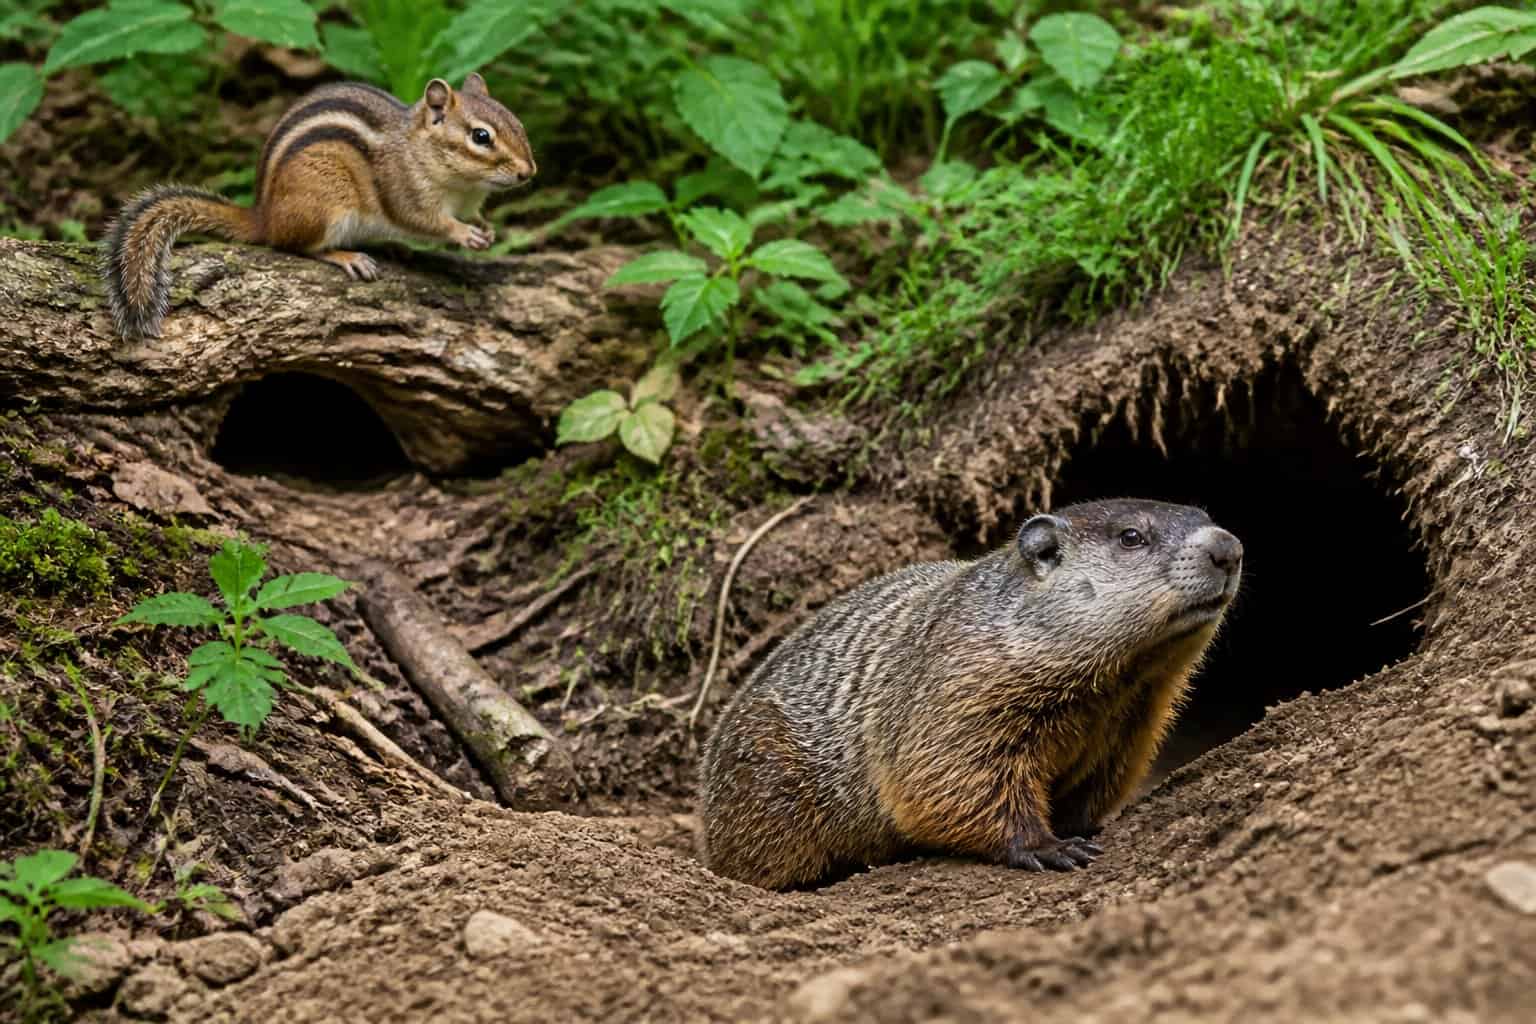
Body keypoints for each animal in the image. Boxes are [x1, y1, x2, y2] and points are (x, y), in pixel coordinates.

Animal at [101, 73, 535, 340]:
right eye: (481, 137)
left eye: (519, 124)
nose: (529, 172)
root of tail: (263, 216)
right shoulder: (405, 189)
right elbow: (424, 220)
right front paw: (462, 233)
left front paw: (487, 229)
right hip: (326, 205)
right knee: (295, 246)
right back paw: (346, 256)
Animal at [698, 498, 1244, 891]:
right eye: (1132, 536)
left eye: (1207, 516)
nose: (1230, 548)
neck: (1117, 682)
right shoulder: (965, 682)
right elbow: (953, 768)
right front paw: (1049, 846)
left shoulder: (1134, 718)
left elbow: (1102, 779)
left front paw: (1079, 827)